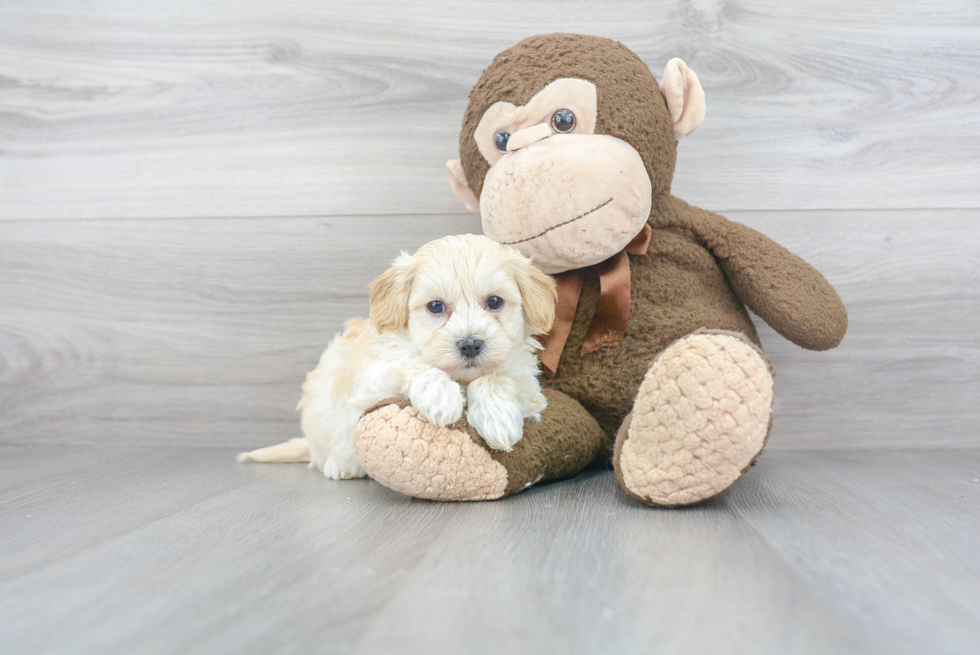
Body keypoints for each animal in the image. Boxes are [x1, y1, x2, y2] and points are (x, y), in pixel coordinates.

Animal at [237, 233, 556, 480]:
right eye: (435, 306)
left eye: (494, 301)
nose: (470, 345)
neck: (461, 377)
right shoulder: (372, 380)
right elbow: (411, 364)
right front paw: (441, 396)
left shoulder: (527, 381)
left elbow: (497, 377)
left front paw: (497, 416)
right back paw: (342, 465)